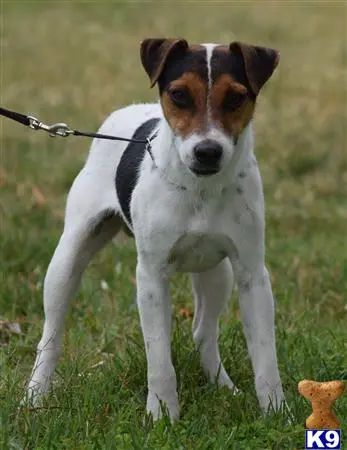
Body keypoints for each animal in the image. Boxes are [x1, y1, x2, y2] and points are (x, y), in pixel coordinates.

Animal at [26, 38, 286, 422]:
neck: (200, 189)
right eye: (179, 94)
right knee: (51, 333)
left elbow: (266, 355)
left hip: (218, 272)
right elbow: (159, 354)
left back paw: (224, 386)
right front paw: (163, 413)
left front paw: (277, 413)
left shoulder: (252, 275)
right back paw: (36, 393)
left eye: (236, 97)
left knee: (203, 332)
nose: (207, 151)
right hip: (67, 259)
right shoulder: (150, 276)